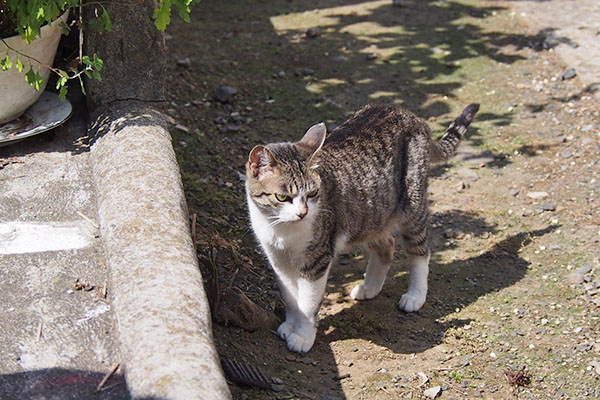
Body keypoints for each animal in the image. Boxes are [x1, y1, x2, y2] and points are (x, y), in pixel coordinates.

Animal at [244, 103, 478, 354]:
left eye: (313, 193)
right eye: (282, 197)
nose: (302, 213)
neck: (281, 230)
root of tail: (411, 116)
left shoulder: (317, 259)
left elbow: (307, 304)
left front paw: (302, 336)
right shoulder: (278, 260)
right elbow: (290, 297)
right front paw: (290, 325)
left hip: (412, 205)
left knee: (420, 252)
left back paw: (415, 295)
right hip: (371, 215)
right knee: (386, 246)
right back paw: (370, 287)